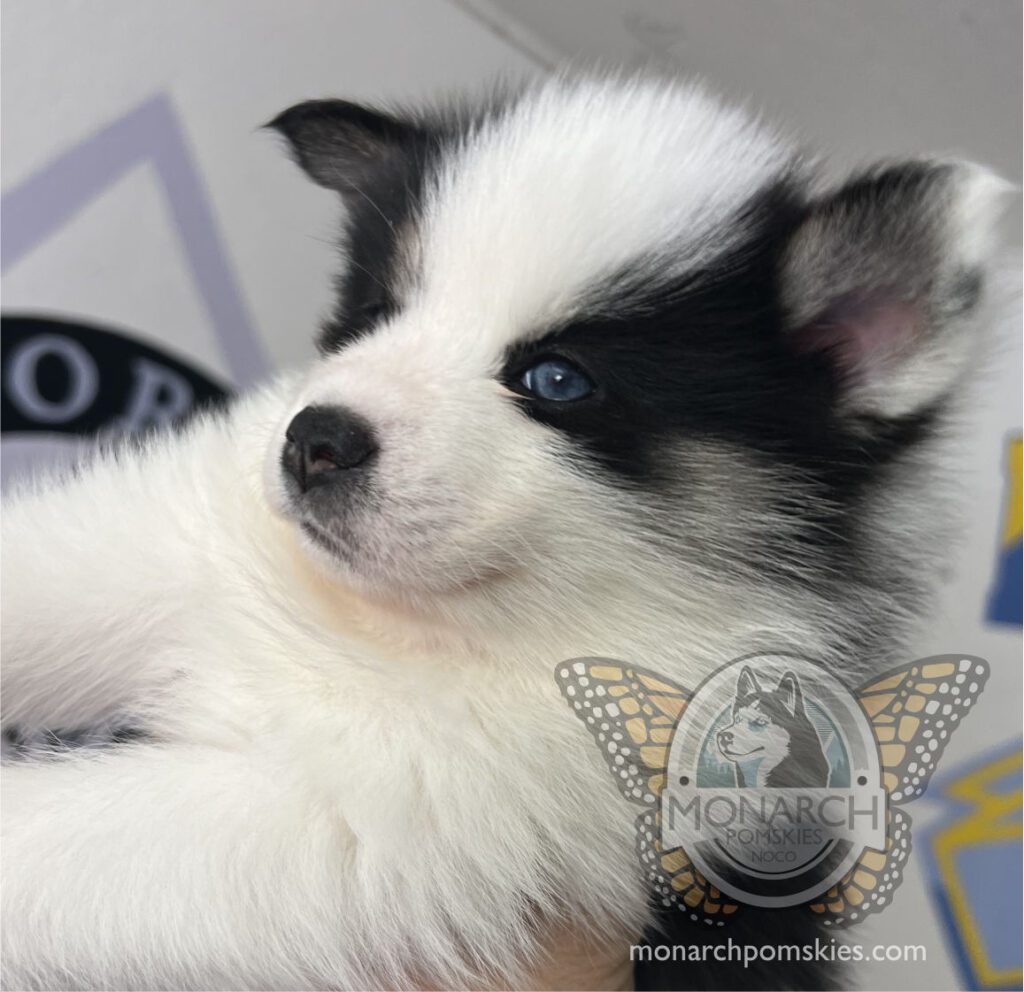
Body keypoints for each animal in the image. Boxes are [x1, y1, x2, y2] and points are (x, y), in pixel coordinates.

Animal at [0, 73, 1007, 986]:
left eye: (556, 379)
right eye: (376, 314)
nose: (314, 441)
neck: (394, 623)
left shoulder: (383, 821)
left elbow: (70, 839)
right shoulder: (164, 540)